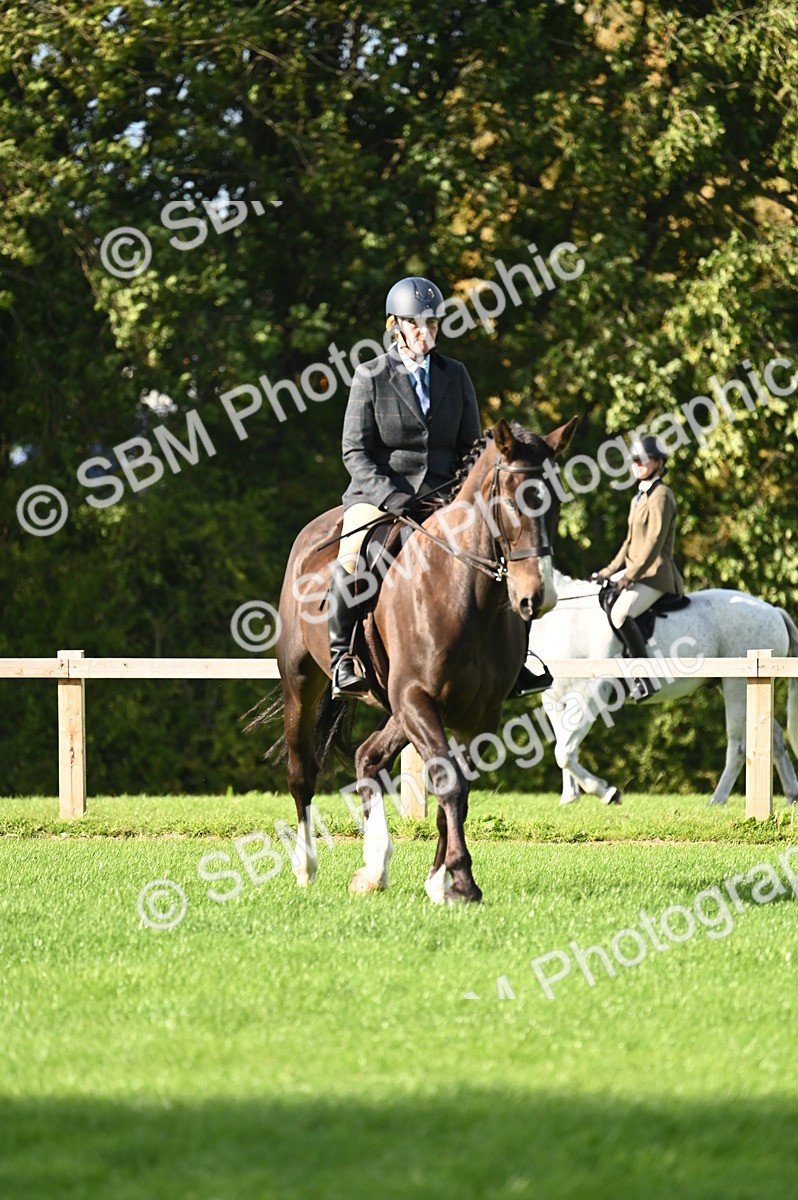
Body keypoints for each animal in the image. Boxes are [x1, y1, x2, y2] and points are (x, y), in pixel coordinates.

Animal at [261, 417, 578, 903]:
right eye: (511, 500)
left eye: (556, 501)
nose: (535, 597)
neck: (465, 595)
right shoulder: (418, 698)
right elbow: (448, 782)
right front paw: (461, 881)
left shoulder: (476, 715)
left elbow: (458, 792)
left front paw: (439, 881)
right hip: (303, 682)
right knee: (302, 773)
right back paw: (305, 866)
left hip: (396, 706)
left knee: (369, 757)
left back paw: (373, 869)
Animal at [527, 571, 798, 806]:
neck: (563, 619)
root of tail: (774, 611)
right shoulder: (553, 700)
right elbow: (564, 746)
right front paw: (570, 797)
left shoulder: (590, 694)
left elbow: (565, 751)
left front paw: (607, 792)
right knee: (773, 737)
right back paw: (791, 796)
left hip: (737, 685)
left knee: (739, 745)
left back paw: (717, 799)